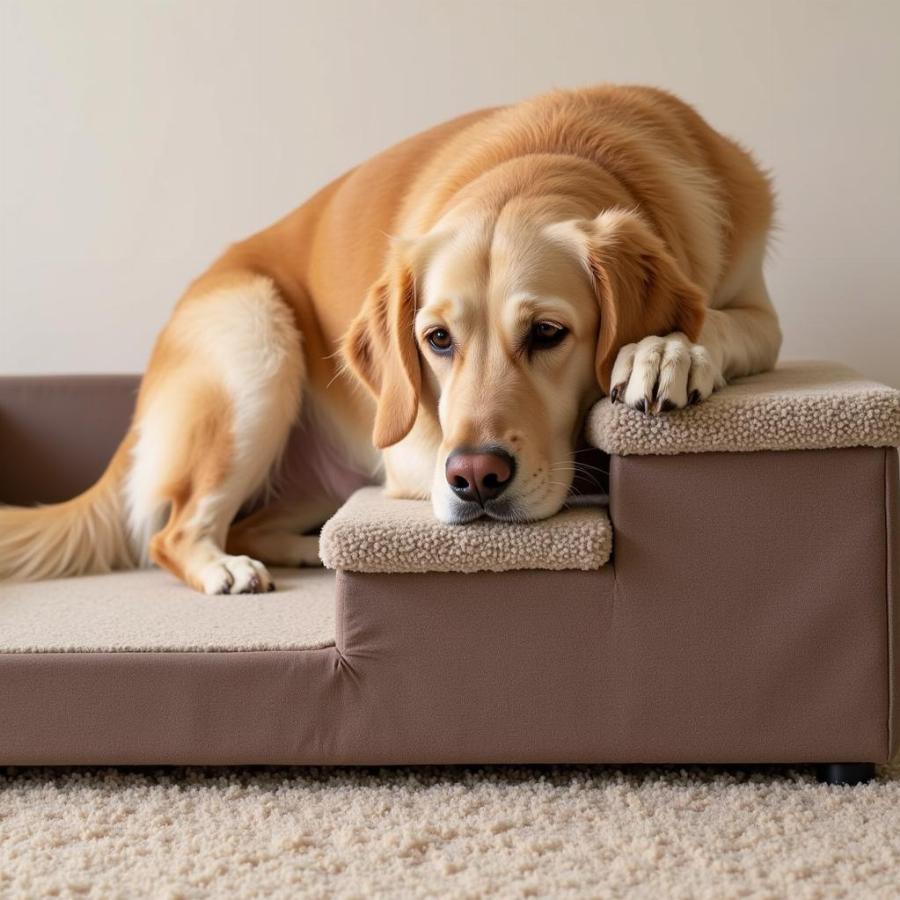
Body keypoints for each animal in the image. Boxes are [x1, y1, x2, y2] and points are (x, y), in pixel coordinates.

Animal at [0, 84, 780, 592]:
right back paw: (227, 569)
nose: (474, 478)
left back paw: (306, 550)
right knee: (175, 531)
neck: (558, 150)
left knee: (243, 523)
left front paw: (663, 349)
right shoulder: (411, 449)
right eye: (436, 339)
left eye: (548, 333)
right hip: (256, 344)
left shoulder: (760, 314)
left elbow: (719, 320)